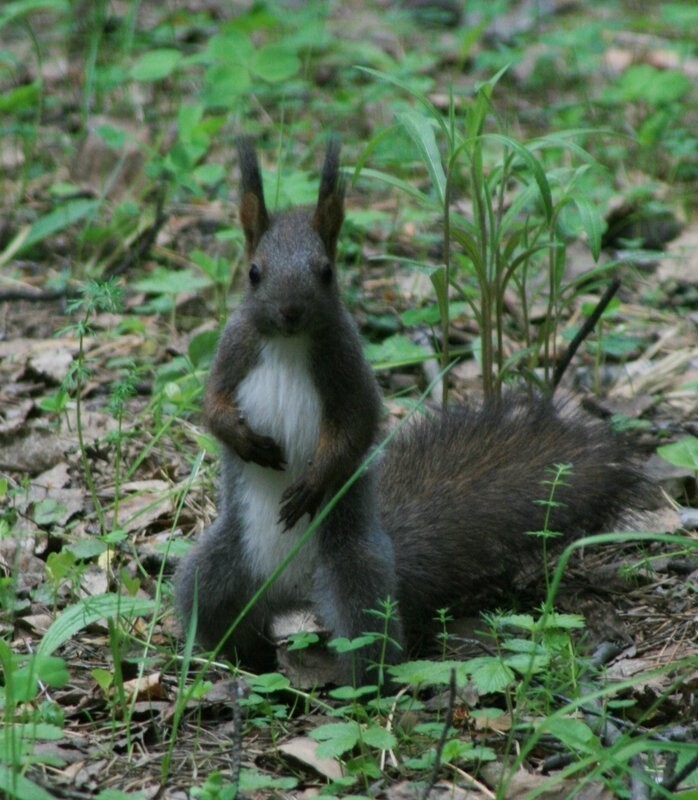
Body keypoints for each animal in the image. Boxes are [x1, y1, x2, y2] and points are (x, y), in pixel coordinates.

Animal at [175, 141, 640, 680]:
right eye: (254, 273)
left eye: (326, 272)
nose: (290, 312)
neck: (288, 344)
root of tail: (293, 594)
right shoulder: (233, 353)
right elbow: (212, 406)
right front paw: (243, 438)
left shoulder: (348, 370)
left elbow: (356, 429)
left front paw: (313, 482)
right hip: (216, 570)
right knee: (213, 613)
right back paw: (230, 663)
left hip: (355, 577)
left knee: (369, 643)